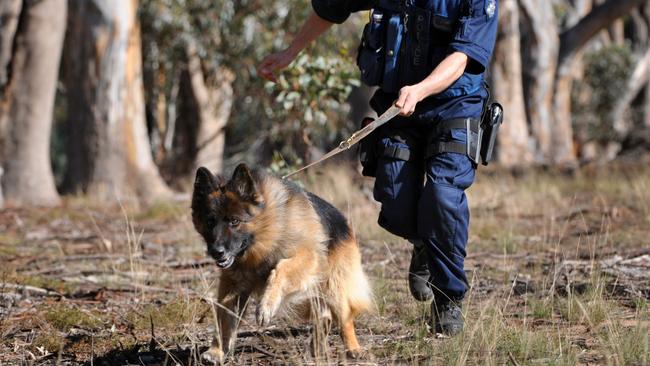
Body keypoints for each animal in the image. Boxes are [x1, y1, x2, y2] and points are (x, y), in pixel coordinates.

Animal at [190, 164, 370, 362]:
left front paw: (265, 307)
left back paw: (353, 348)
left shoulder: (306, 258)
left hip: (333, 287)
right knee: (325, 315)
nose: (217, 252)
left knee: (344, 318)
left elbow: (281, 268)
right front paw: (216, 351)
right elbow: (223, 318)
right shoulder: (232, 286)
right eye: (210, 222)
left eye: (234, 221)